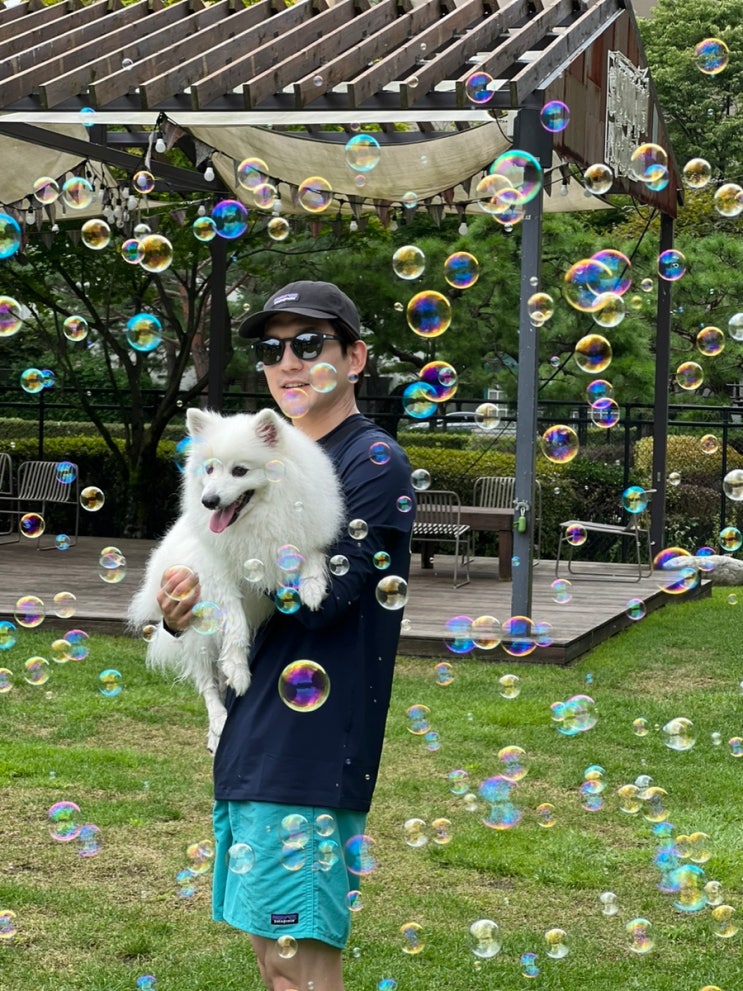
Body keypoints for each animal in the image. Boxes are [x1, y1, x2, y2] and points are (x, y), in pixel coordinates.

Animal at [129, 407, 345, 752]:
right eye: (210, 469)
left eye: (240, 471)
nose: (209, 501)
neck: (260, 518)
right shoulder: (217, 574)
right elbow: (235, 623)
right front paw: (239, 671)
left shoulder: (305, 532)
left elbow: (313, 554)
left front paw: (312, 587)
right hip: (199, 634)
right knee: (208, 684)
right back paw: (218, 722)